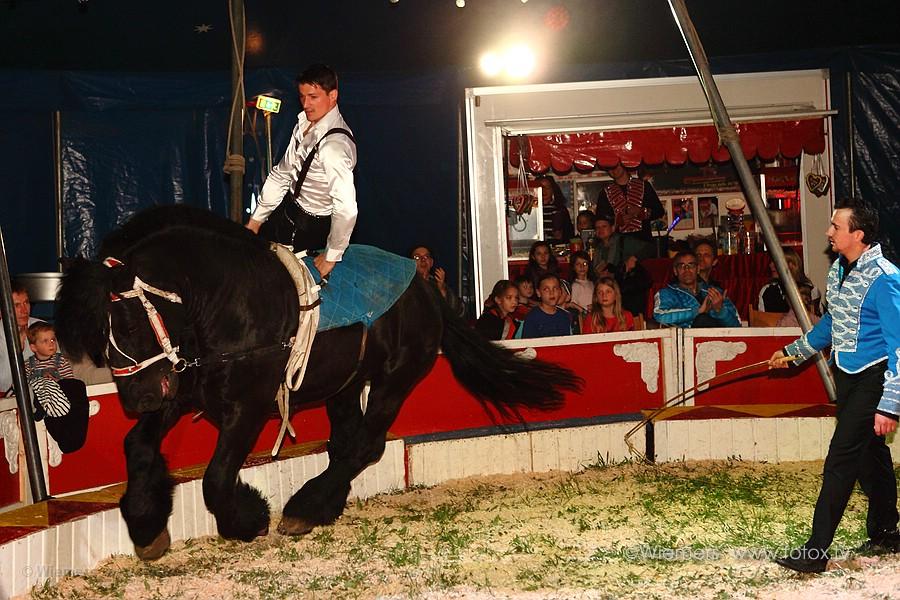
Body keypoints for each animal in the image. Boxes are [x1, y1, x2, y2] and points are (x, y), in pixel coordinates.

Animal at [56, 205, 580, 556]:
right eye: (96, 337)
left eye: (127, 324)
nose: (137, 396)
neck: (225, 306)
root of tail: (424, 287)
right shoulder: (180, 390)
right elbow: (138, 448)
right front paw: (147, 525)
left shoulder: (246, 406)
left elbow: (216, 478)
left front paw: (248, 518)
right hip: (345, 385)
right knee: (346, 443)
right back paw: (323, 505)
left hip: (394, 381)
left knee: (365, 445)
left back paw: (305, 507)